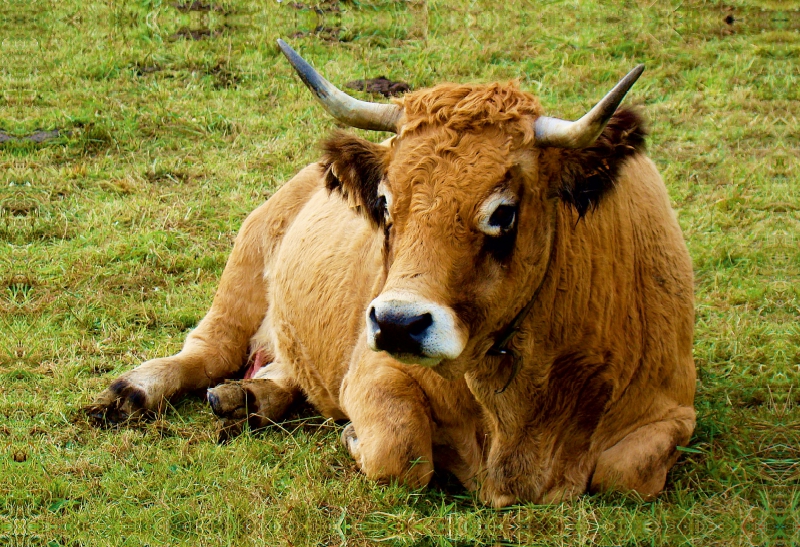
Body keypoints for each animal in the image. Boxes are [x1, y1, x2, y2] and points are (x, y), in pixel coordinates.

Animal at [87, 39, 696, 510]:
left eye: (503, 212)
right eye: (384, 201)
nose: (399, 323)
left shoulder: (670, 409)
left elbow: (627, 474)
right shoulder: (374, 371)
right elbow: (399, 453)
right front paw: (354, 437)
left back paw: (250, 398)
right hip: (246, 261)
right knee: (207, 350)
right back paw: (134, 390)